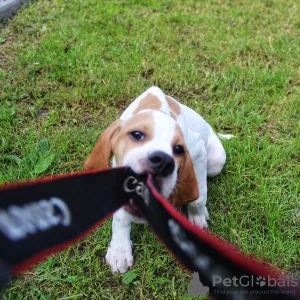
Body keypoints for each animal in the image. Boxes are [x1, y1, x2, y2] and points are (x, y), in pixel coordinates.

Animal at [84, 86, 225, 274]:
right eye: (136, 134)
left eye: (178, 149)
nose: (163, 162)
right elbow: (121, 216)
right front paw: (120, 249)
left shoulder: (198, 153)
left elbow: (199, 196)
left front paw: (197, 217)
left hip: (216, 162)